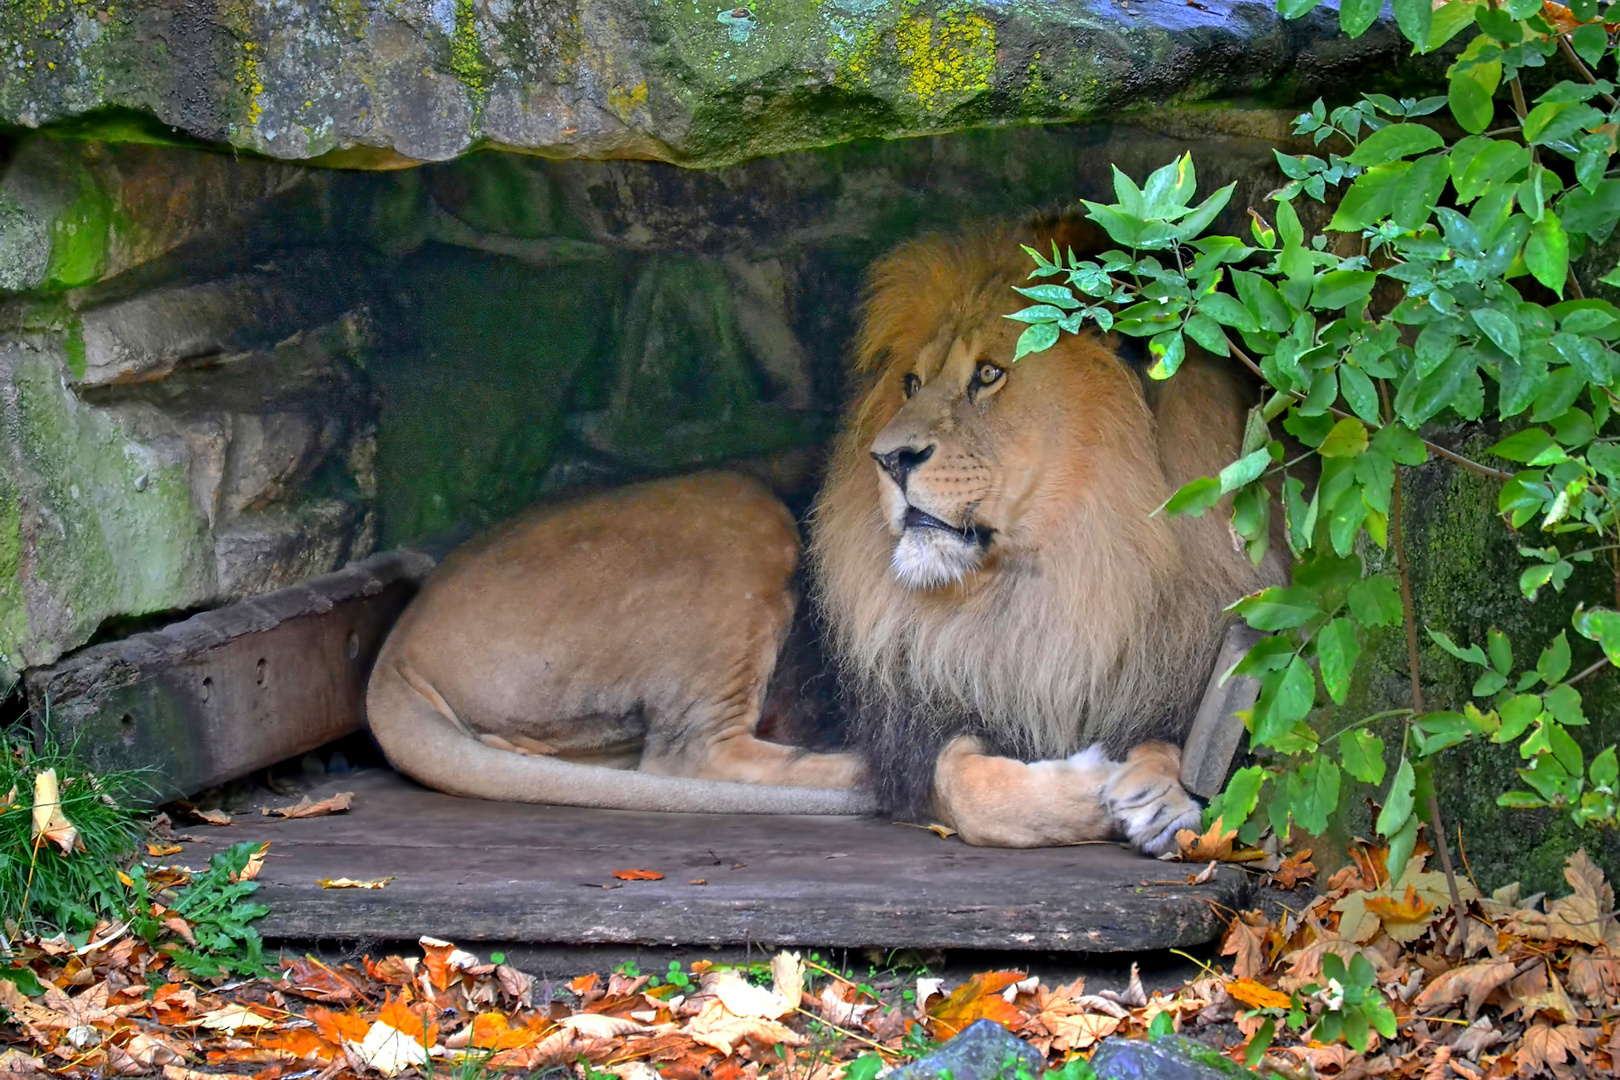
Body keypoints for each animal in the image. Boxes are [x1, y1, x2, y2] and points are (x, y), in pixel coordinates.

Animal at [364, 213, 1276, 854]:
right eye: (911, 382)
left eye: (989, 376)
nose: (889, 458)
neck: (1057, 576)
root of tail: (398, 643)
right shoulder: (927, 708)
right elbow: (959, 783)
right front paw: (1094, 783)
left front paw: (1159, 786)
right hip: (737, 506)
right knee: (688, 757)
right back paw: (855, 772)